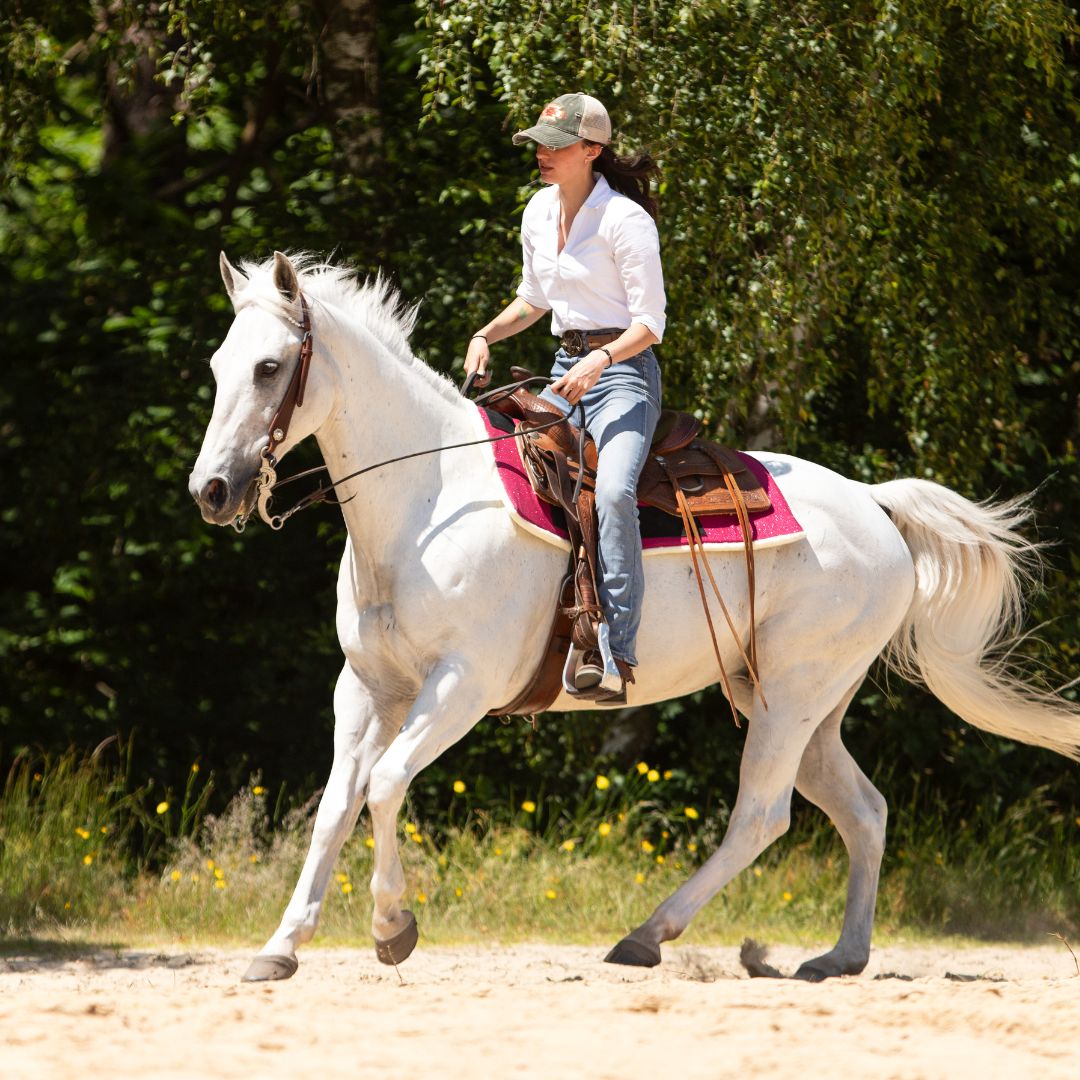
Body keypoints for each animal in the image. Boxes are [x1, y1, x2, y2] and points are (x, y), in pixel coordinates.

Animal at [190, 252, 1075, 980]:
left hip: (792, 698)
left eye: (270, 367)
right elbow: (335, 806)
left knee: (762, 815)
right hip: (798, 699)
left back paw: (647, 936)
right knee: (863, 811)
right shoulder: (368, 688)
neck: (427, 500)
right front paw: (280, 947)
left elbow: (385, 784)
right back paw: (839, 957)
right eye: (219, 364)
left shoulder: (462, 686)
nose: (212, 491)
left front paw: (391, 928)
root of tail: (874, 504)